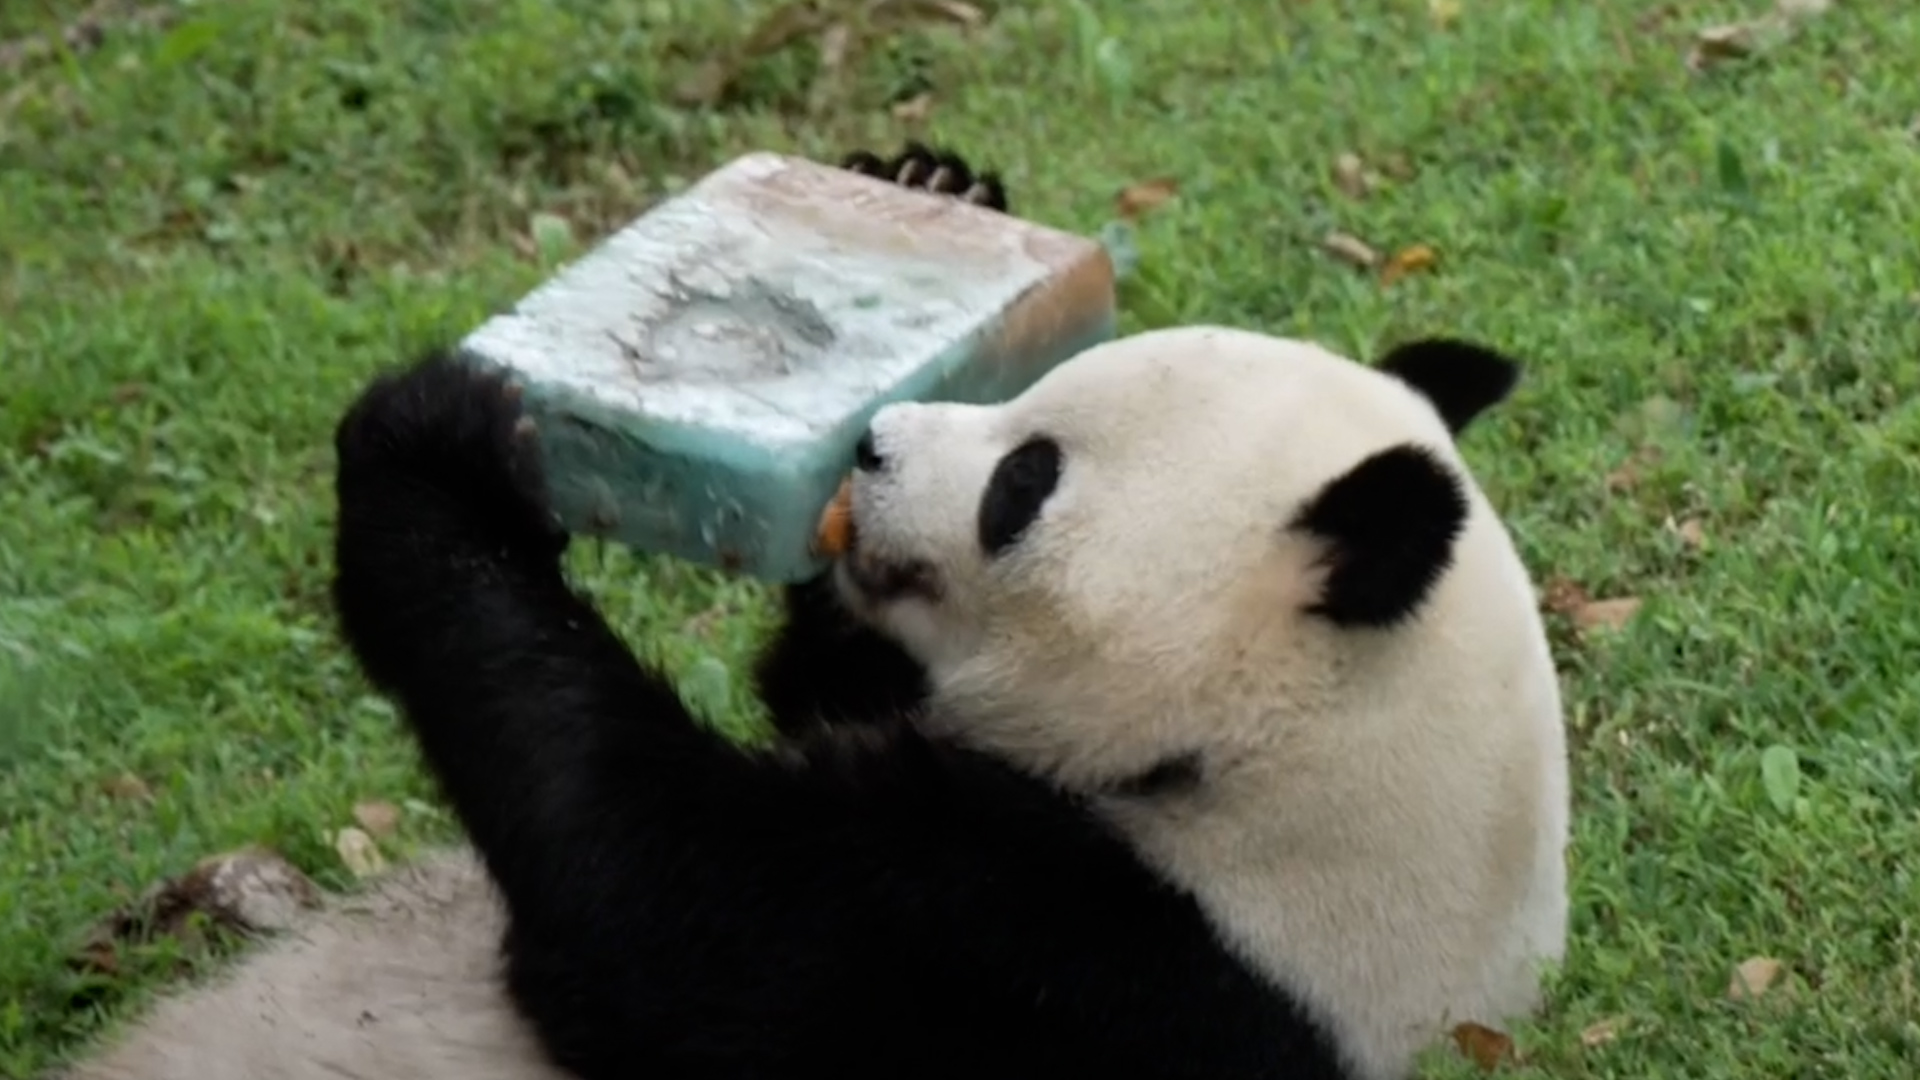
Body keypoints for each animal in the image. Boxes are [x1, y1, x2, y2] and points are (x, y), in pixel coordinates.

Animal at [56, 143, 1569, 1080]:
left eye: (1023, 482)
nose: (871, 444)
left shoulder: (1053, 968)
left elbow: (645, 897)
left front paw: (437, 455)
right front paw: (926, 181)